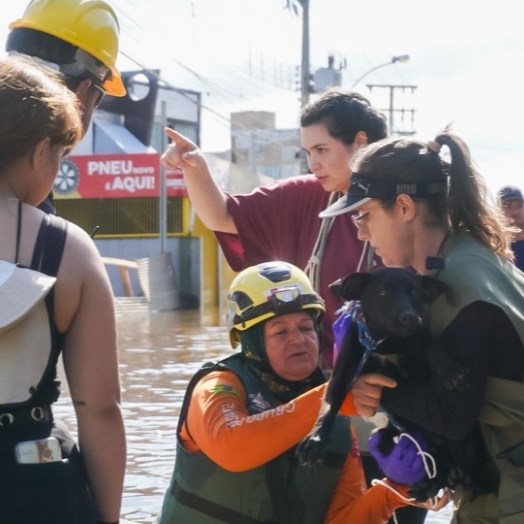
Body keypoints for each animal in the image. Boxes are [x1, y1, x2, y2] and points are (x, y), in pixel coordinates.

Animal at [298, 268, 474, 502]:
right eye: (383, 293)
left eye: (415, 293)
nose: (410, 317)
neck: (385, 342)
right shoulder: (341, 374)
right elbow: (328, 407)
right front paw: (315, 438)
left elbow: (424, 339)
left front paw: (447, 368)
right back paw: (426, 483)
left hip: (452, 439)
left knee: (459, 460)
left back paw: (452, 478)